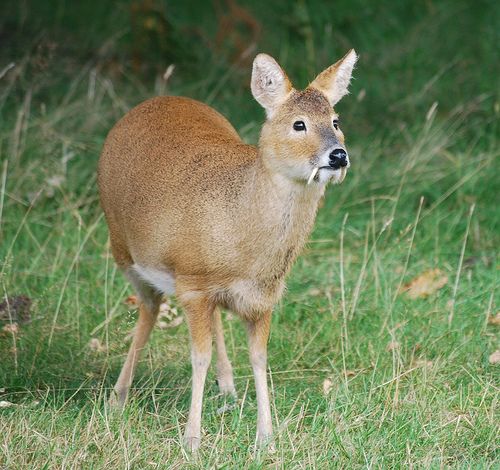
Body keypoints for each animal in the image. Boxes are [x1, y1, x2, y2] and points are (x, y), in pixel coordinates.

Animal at [96, 48, 356, 452]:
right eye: (299, 124)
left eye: (335, 119)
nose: (338, 155)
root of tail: (153, 101)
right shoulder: (191, 282)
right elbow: (197, 357)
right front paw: (191, 439)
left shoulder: (263, 297)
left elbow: (260, 357)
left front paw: (266, 438)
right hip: (123, 248)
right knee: (149, 309)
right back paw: (118, 396)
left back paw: (228, 387)